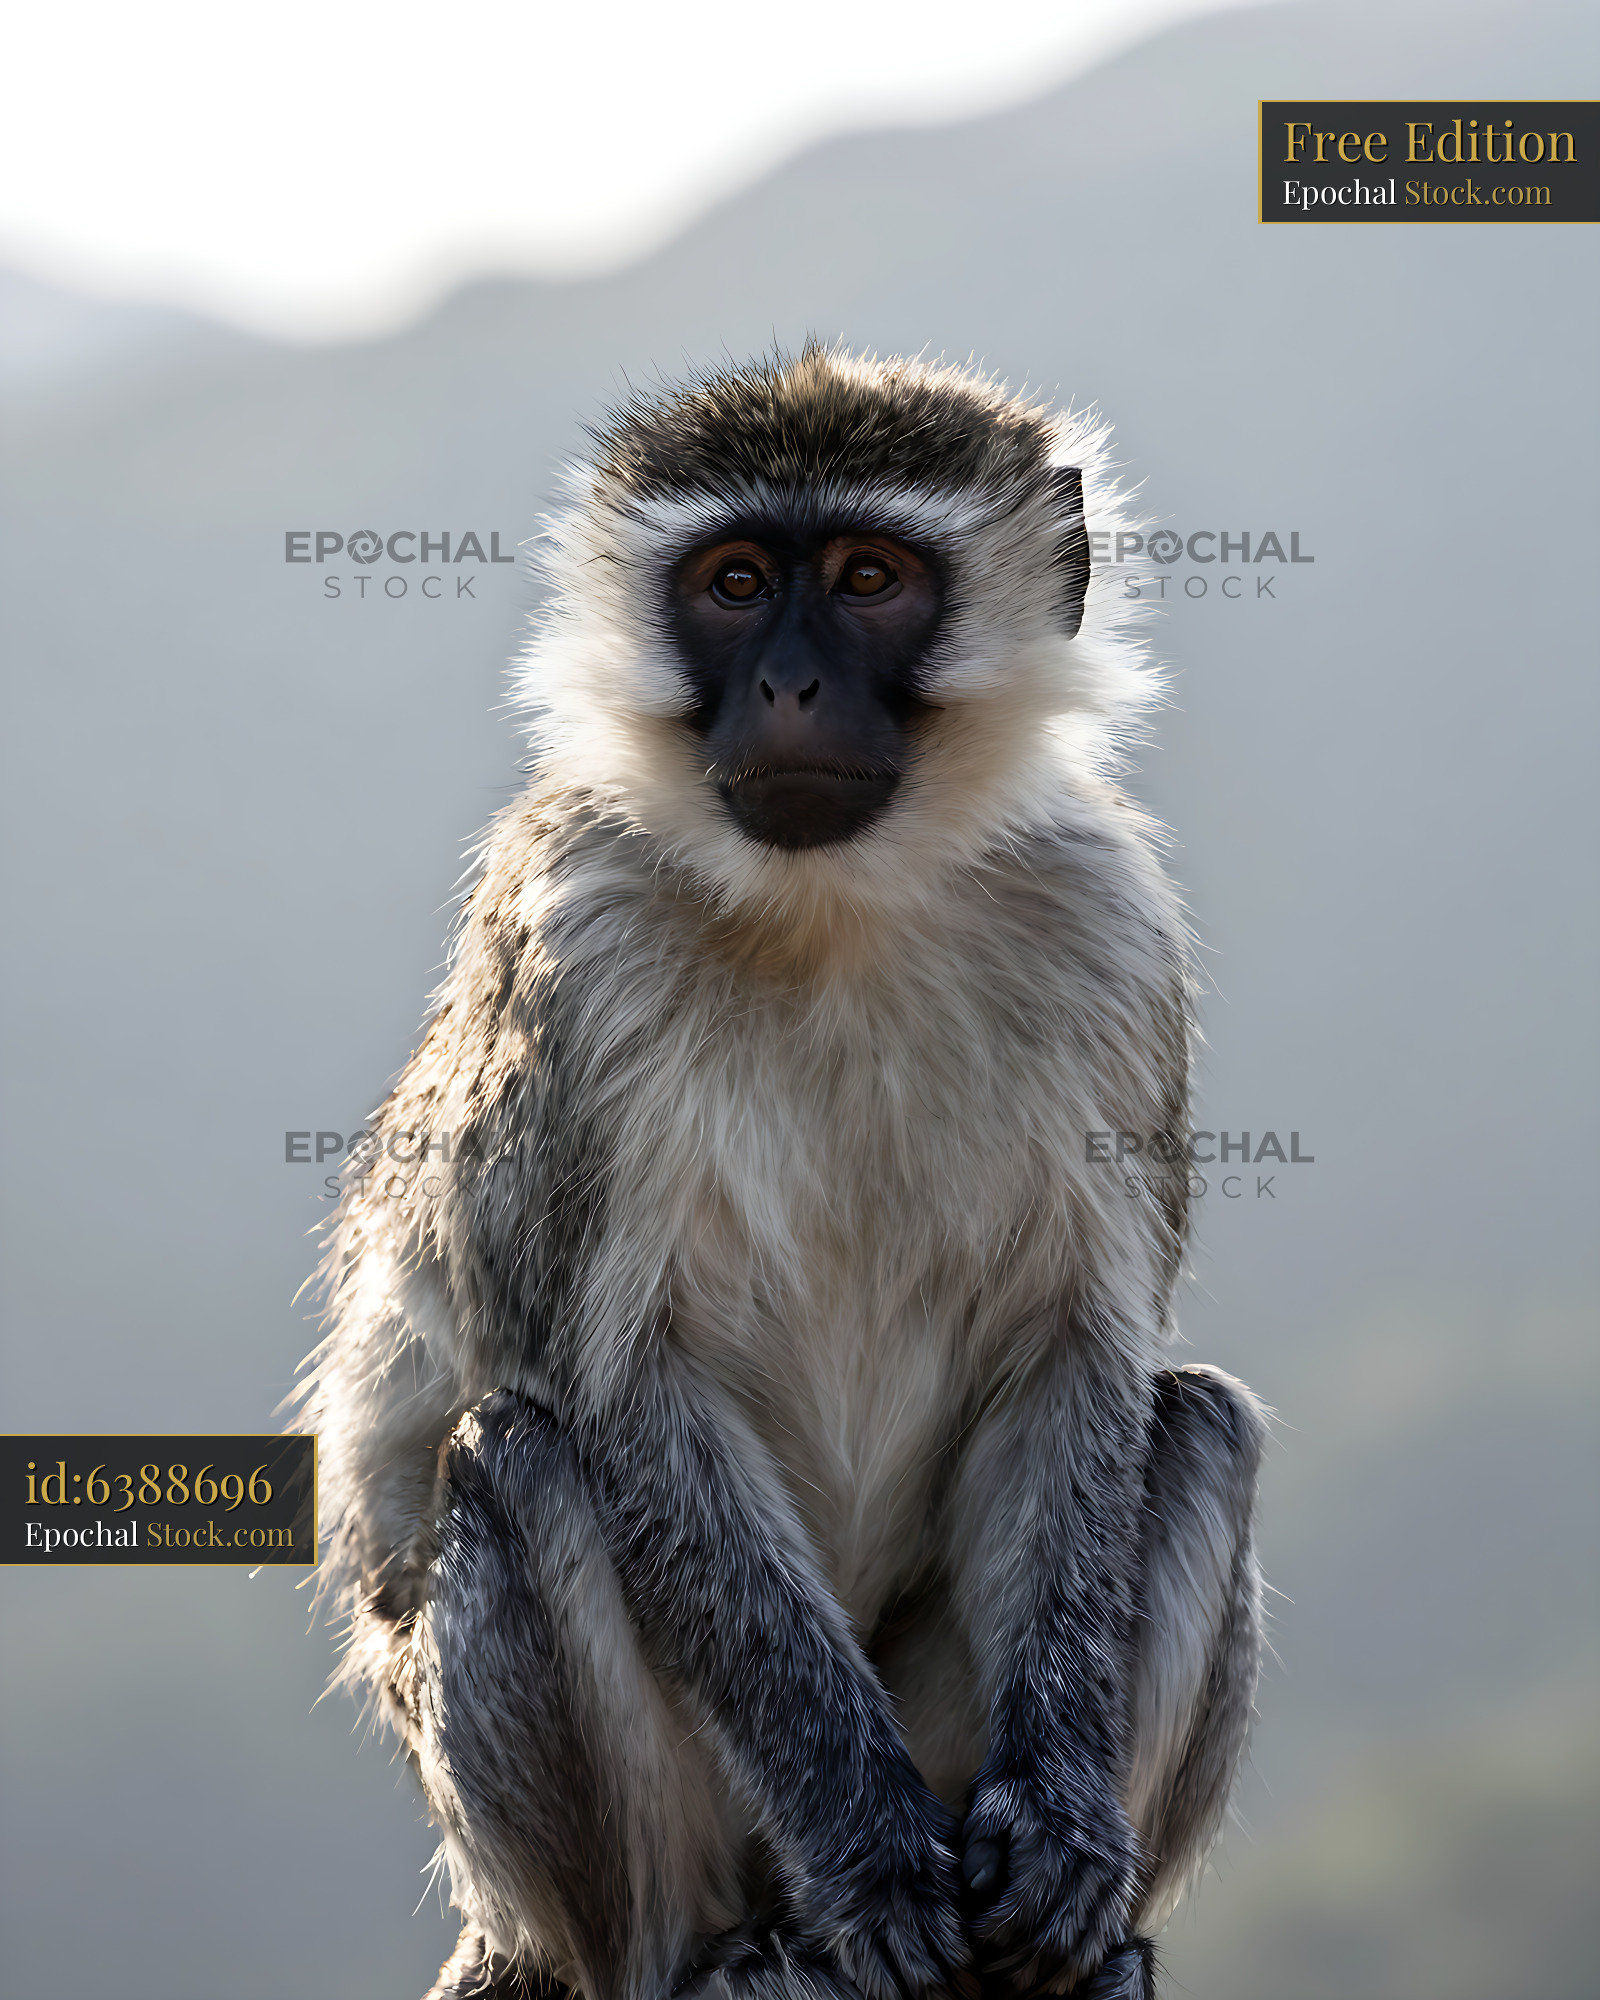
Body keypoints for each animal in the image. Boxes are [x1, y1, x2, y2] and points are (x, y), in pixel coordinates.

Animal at [293, 345, 1265, 2000]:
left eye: (869, 578)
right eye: (737, 582)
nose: (791, 687)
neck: (839, 910)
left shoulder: (1106, 925)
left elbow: (1072, 1353)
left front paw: (1062, 1832)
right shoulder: (578, 936)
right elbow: (622, 1392)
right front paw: (874, 1863)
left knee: (1197, 1423)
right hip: (564, 1843)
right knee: (517, 1453)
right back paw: (711, 1943)